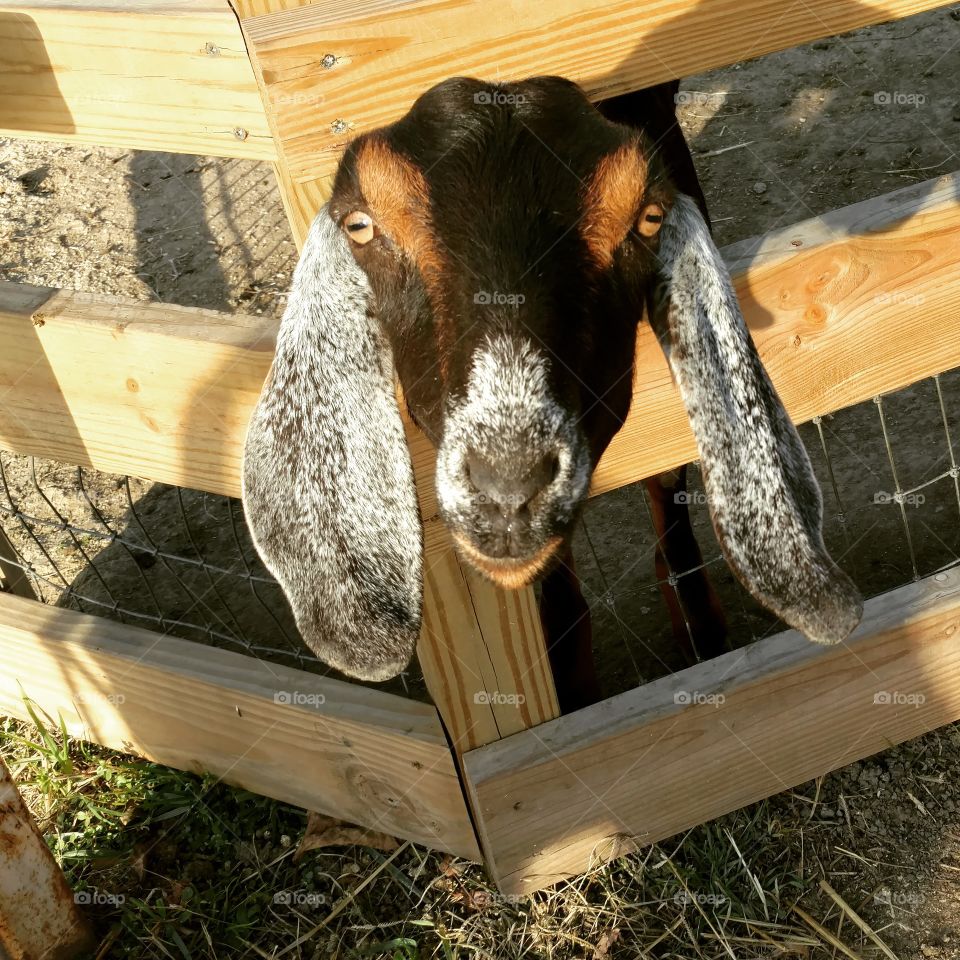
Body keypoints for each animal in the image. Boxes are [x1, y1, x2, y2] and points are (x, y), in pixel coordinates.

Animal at [242, 76, 863, 709]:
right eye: (361, 226)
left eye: (649, 218)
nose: (508, 486)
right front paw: (573, 678)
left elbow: (668, 485)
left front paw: (701, 631)